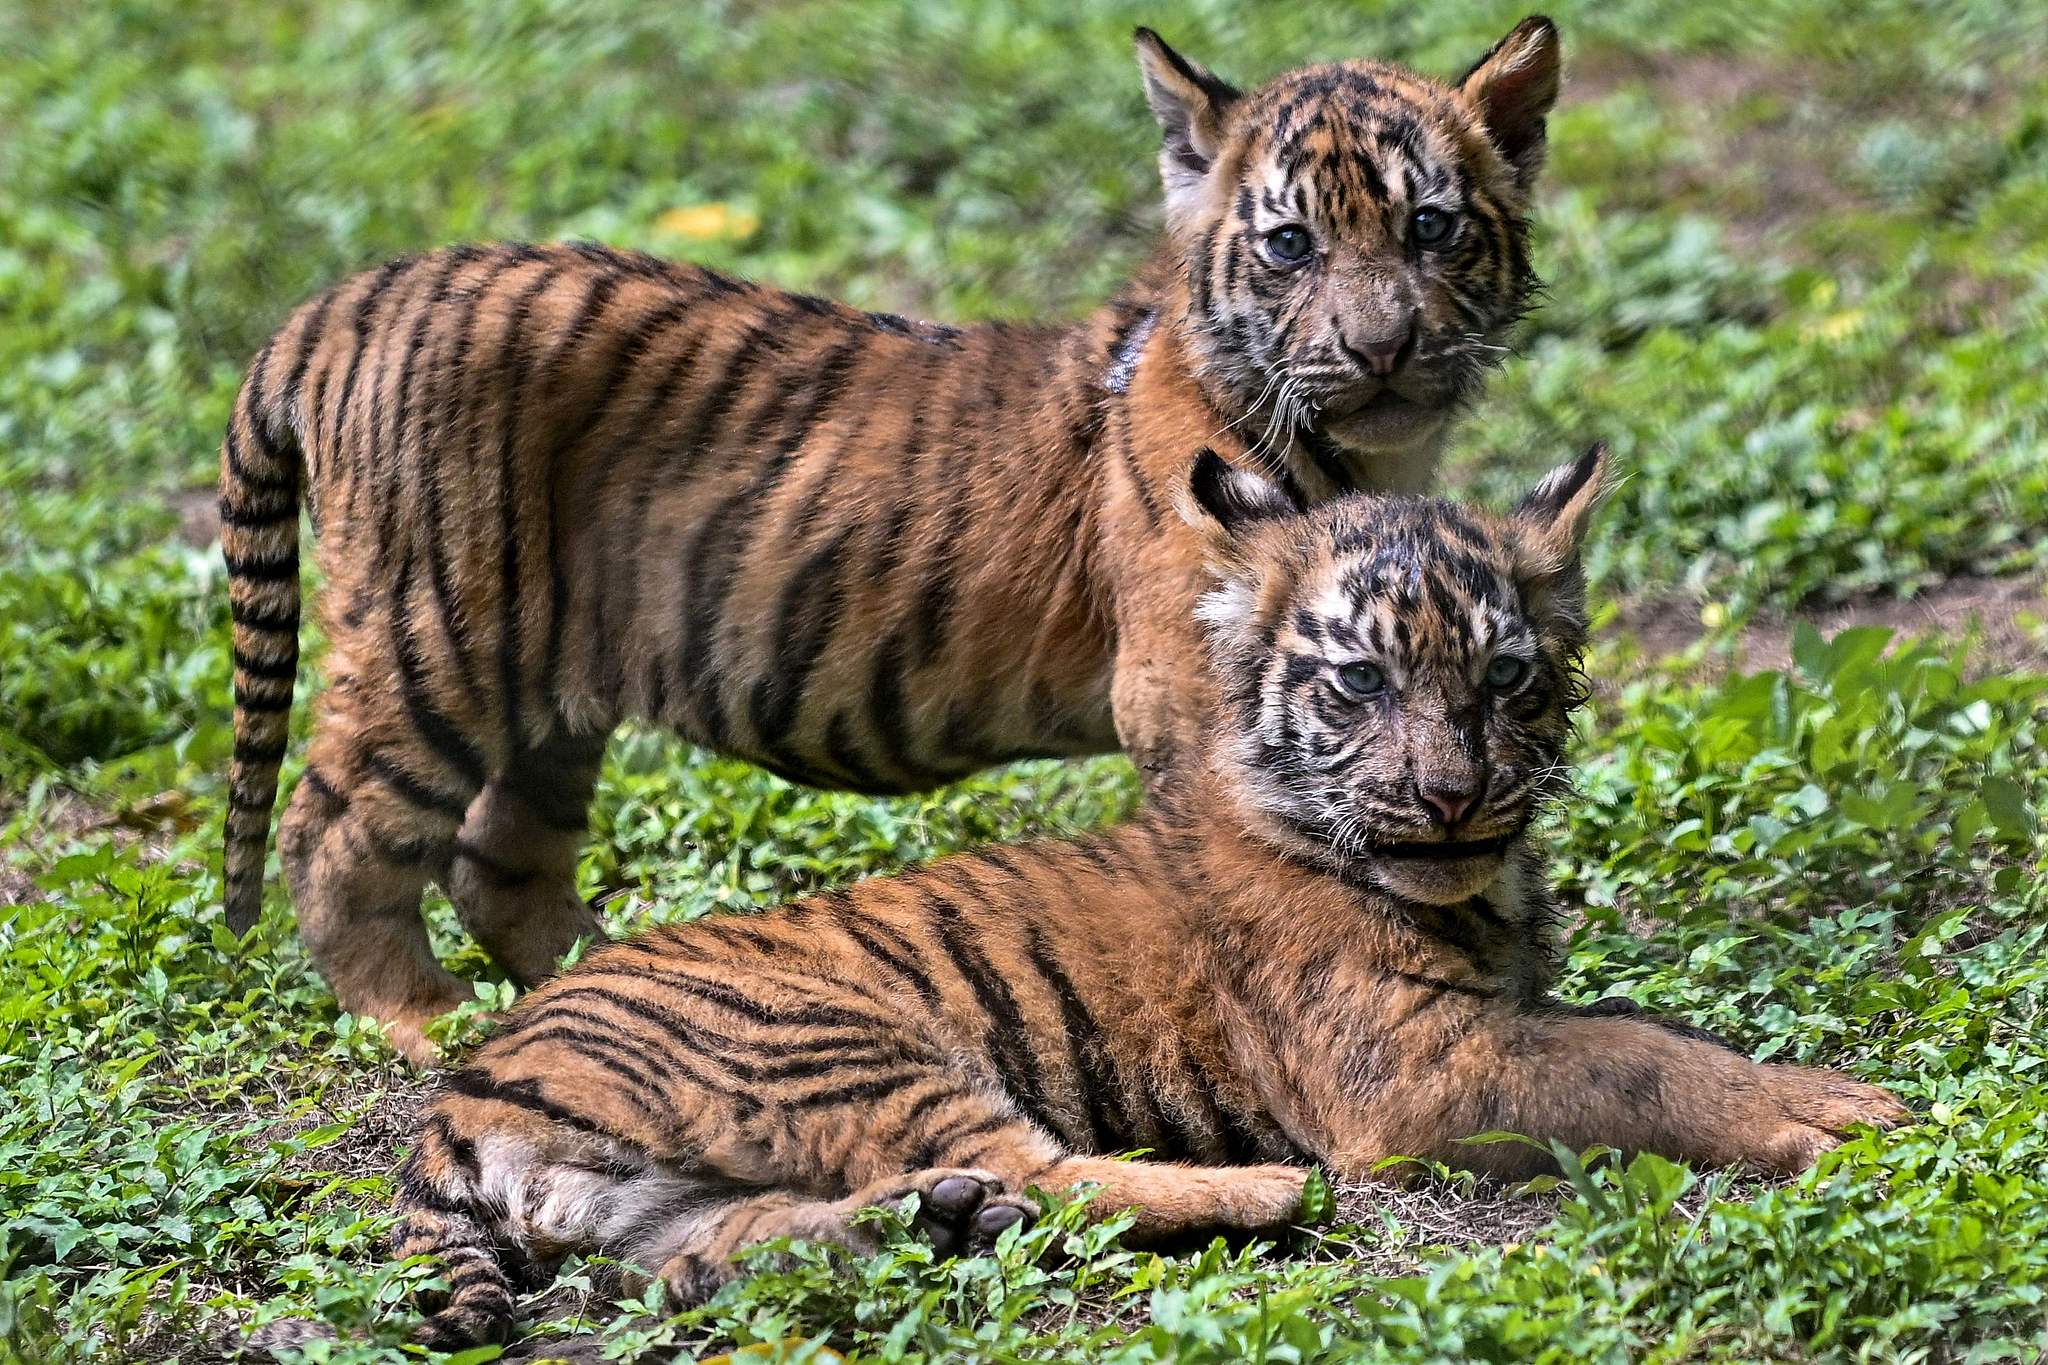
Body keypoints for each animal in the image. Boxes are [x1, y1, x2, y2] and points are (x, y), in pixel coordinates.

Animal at [218, 19, 1567, 1063]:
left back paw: (606, 965)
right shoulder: (1181, 692)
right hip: (438, 635)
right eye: (1290, 244)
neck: (1365, 450)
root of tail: (339, 301)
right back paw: (426, 1018)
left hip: (550, 685)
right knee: (334, 832)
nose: (1381, 348)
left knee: (497, 853)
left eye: (1431, 228)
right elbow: (1253, 846)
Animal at [386, 447, 1908, 1348]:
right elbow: (1628, 1057)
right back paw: (1252, 1190)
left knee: (727, 1252)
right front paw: (1842, 1109)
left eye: (1504, 679)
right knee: (1048, 1168)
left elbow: (1635, 1032)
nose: (1449, 796)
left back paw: (930, 1222)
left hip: (665, 1203)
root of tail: (465, 1091)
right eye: (1359, 683)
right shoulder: (1415, 1065)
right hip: (831, 1043)